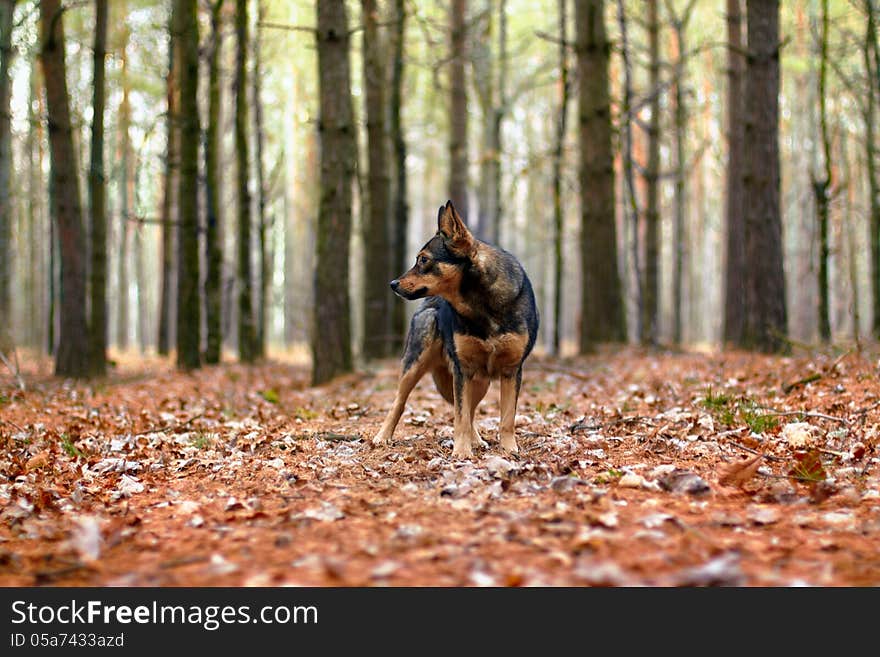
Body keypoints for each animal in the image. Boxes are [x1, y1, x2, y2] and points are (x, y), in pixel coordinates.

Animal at [370, 199, 536, 456]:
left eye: (423, 259)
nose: (393, 284)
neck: (481, 304)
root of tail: (429, 304)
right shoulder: (463, 370)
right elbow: (460, 417)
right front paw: (461, 452)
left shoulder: (511, 370)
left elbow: (506, 418)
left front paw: (509, 450)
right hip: (415, 366)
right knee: (399, 403)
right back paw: (383, 436)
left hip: (480, 381)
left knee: (471, 411)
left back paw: (477, 440)